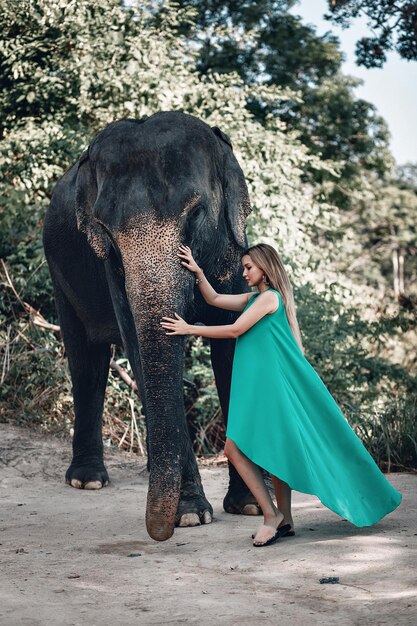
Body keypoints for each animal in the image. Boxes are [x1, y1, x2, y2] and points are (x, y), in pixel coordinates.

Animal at [43, 109, 256, 540]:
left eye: (195, 215)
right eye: (106, 231)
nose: (159, 531)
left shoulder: (233, 249)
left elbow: (232, 346)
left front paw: (249, 506)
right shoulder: (110, 267)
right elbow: (139, 350)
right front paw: (190, 515)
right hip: (60, 274)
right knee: (86, 359)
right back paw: (87, 480)